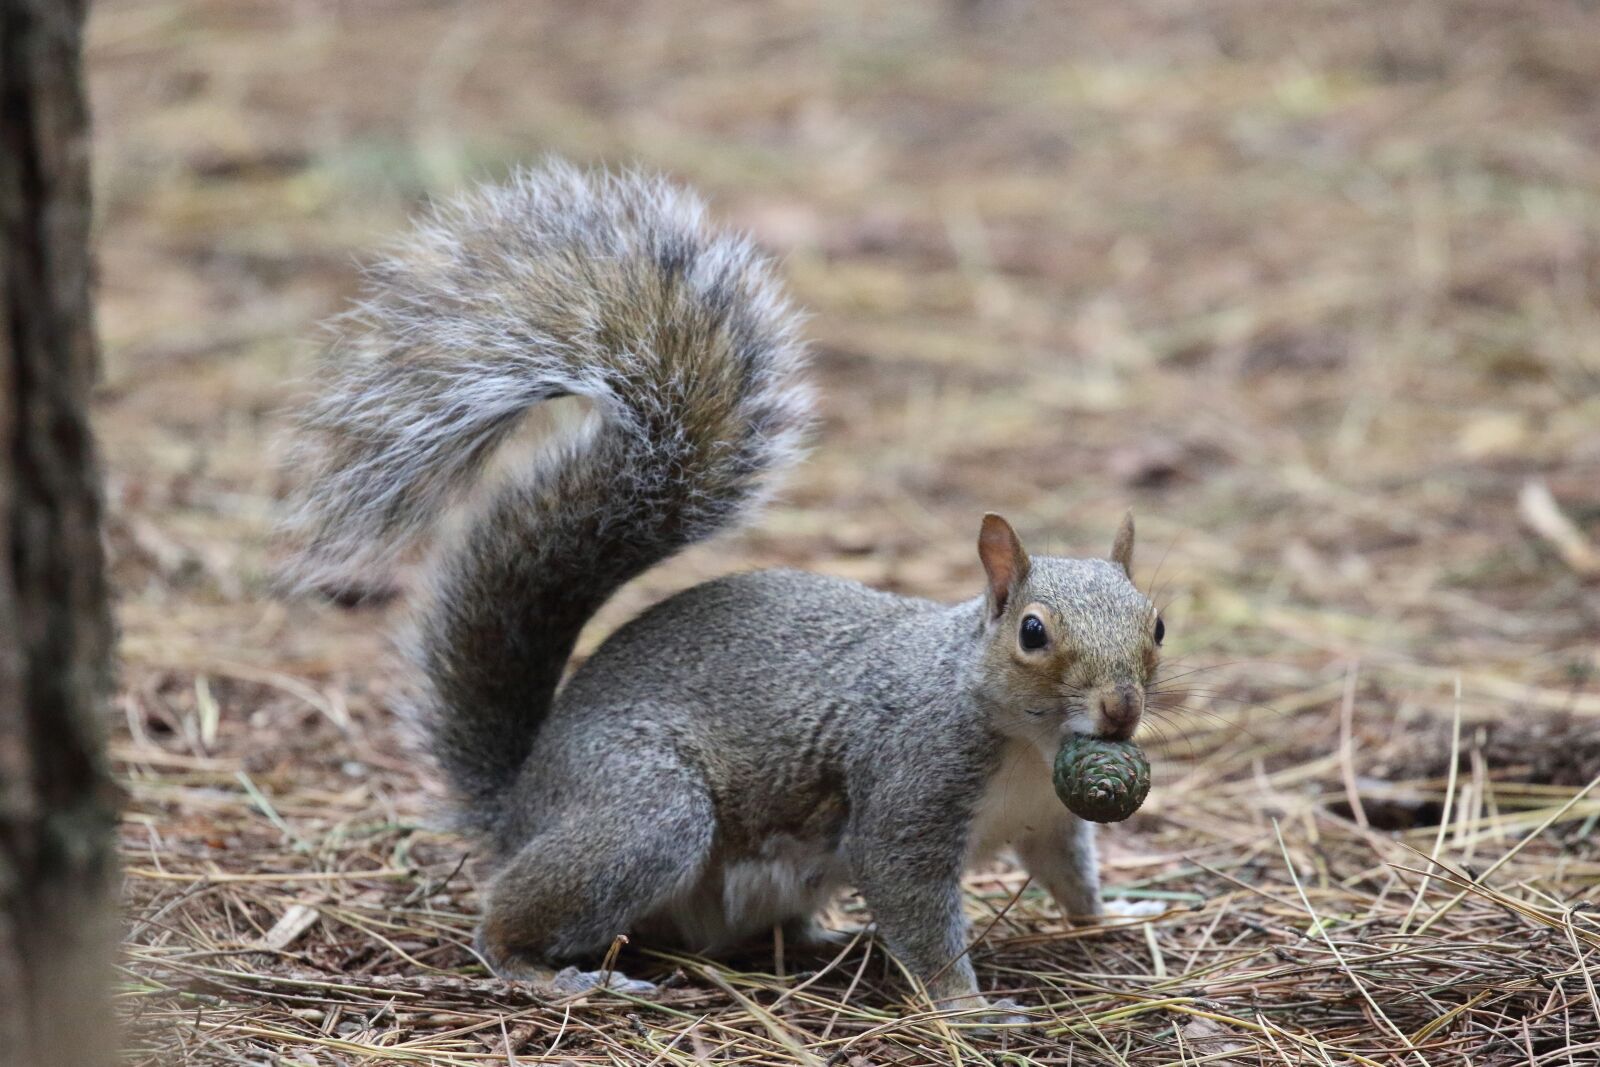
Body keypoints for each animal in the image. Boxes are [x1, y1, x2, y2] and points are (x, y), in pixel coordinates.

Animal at [283, 160, 1164, 1016]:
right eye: (1033, 632)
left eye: (1156, 625)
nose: (1121, 709)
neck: (1025, 741)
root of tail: (523, 801)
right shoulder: (911, 783)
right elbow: (910, 895)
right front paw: (967, 1006)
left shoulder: (1050, 819)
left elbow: (1071, 878)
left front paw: (1119, 912)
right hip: (645, 812)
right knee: (508, 913)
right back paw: (554, 973)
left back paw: (825, 942)